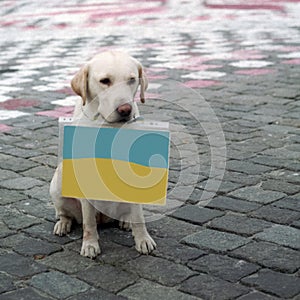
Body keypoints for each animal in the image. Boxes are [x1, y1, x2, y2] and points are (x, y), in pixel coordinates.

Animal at [49, 51, 157, 258]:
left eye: (132, 80)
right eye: (105, 81)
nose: (125, 110)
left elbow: (139, 216)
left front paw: (143, 240)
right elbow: (89, 224)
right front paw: (90, 244)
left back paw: (125, 221)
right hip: (57, 185)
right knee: (67, 214)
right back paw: (63, 224)